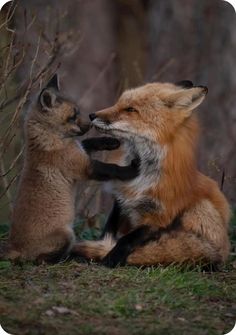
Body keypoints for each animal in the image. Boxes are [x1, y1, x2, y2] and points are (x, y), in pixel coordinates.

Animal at [75, 80, 230, 270]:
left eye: (130, 109)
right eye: (119, 103)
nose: (91, 115)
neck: (141, 177)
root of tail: (225, 249)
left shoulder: (160, 217)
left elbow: (127, 239)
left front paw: (111, 257)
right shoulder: (121, 201)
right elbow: (108, 232)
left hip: (201, 208)